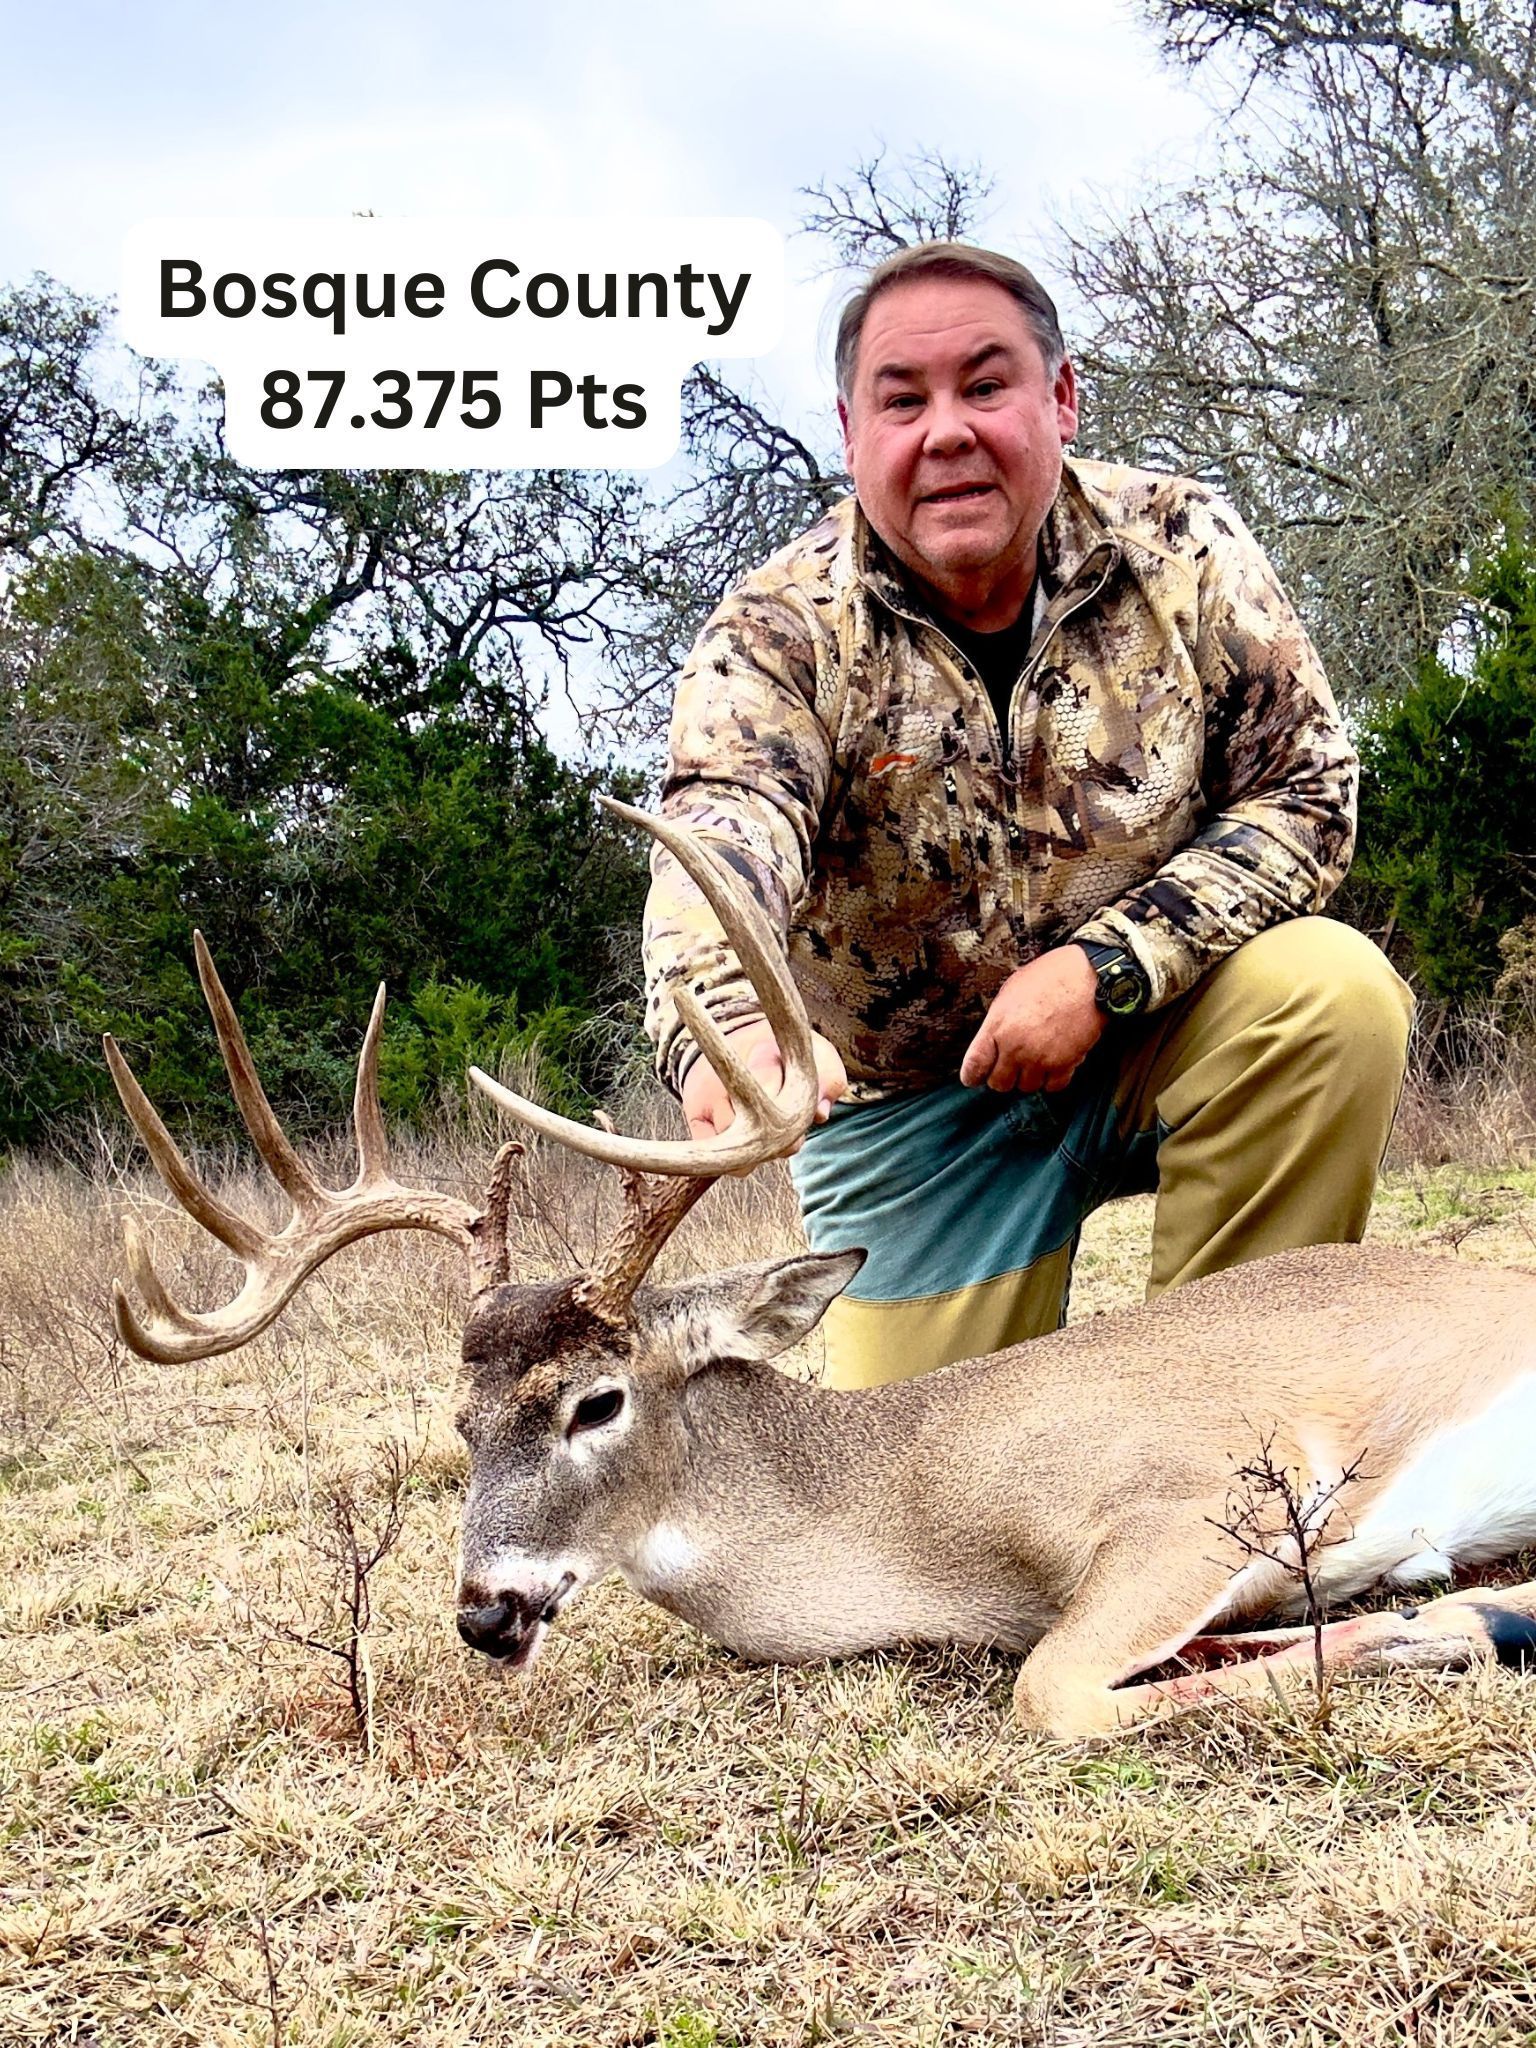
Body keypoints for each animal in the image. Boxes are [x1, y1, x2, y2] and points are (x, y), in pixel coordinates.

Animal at [102, 800, 1536, 1741]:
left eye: (596, 1402)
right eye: (460, 1423)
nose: (485, 1613)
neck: (912, 1513)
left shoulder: (1203, 1492)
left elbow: (1053, 1690)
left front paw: (1447, 1625)